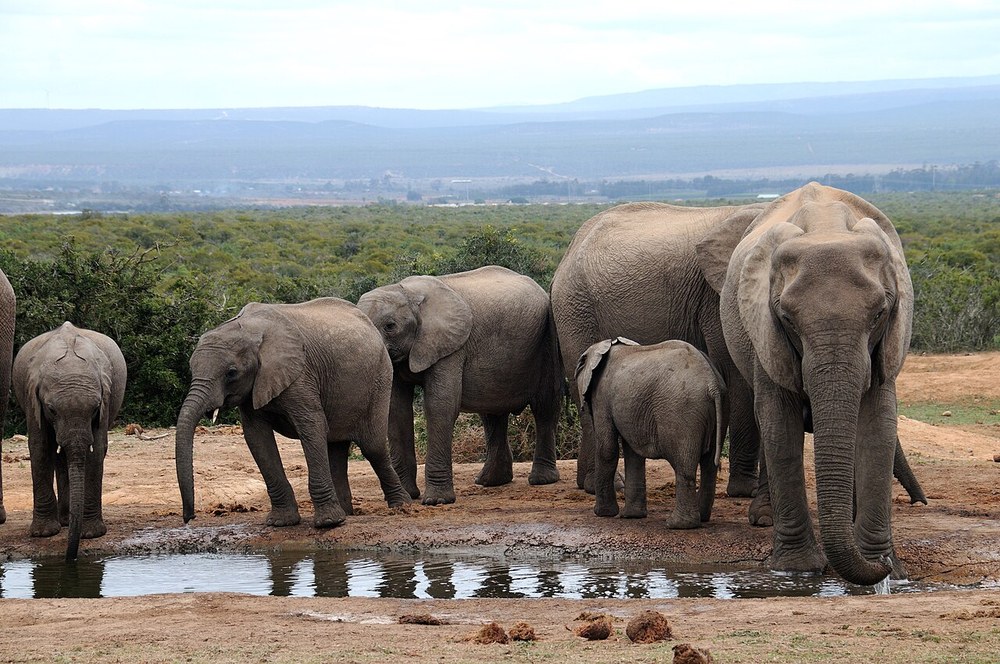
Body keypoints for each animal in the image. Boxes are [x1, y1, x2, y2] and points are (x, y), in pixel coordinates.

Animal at [12, 322, 126, 560]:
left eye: (94, 408)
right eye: (52, 409)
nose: (69, 558)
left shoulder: (106, 398)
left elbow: (96, 451)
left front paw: (90, 534)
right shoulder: (32, 397)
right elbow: (40, 448)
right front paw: (44, 533)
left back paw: (68, 520)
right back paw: (65, 521)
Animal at [175, 297, 411, 529]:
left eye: (231, 373)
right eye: (191, 368)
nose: (189, 517)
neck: (249, 330)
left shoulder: (300, 375)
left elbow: (312, 426)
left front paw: (328, 523)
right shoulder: (254, 387)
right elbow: (257, 437)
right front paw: (282, 522)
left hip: (381, 377)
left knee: (373, 447)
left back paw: (401, 506)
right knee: (336, 447)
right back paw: (347, 513)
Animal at [357, 265, 562, 506]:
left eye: (390, 326)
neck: (408, 293)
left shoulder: (451, 346)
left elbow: (440, 405)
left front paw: (436, 501)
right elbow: (397, 411)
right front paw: (409, 496)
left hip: (547, 339)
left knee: (545, 406)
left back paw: (541, 480)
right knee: (492, 413)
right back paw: (490, 481)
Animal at [576, 337, 727, 529]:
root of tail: (712, 384)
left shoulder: (601, 397)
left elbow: (607, 449)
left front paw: (603, 514)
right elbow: (633, 454)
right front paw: (631, 516)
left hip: (680, 411)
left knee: (683, 463)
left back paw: (677, 524)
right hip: (720, 405)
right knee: (709, 465)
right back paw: (702, 517)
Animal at [696, 182, 913, 585]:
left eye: (880, 313)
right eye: (787, 318)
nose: (881, 568)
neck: (827, 226)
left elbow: (878, 426)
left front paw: (886, 568)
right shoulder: (765, 330)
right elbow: (780, 426)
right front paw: (798, 569)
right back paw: (765, 517)